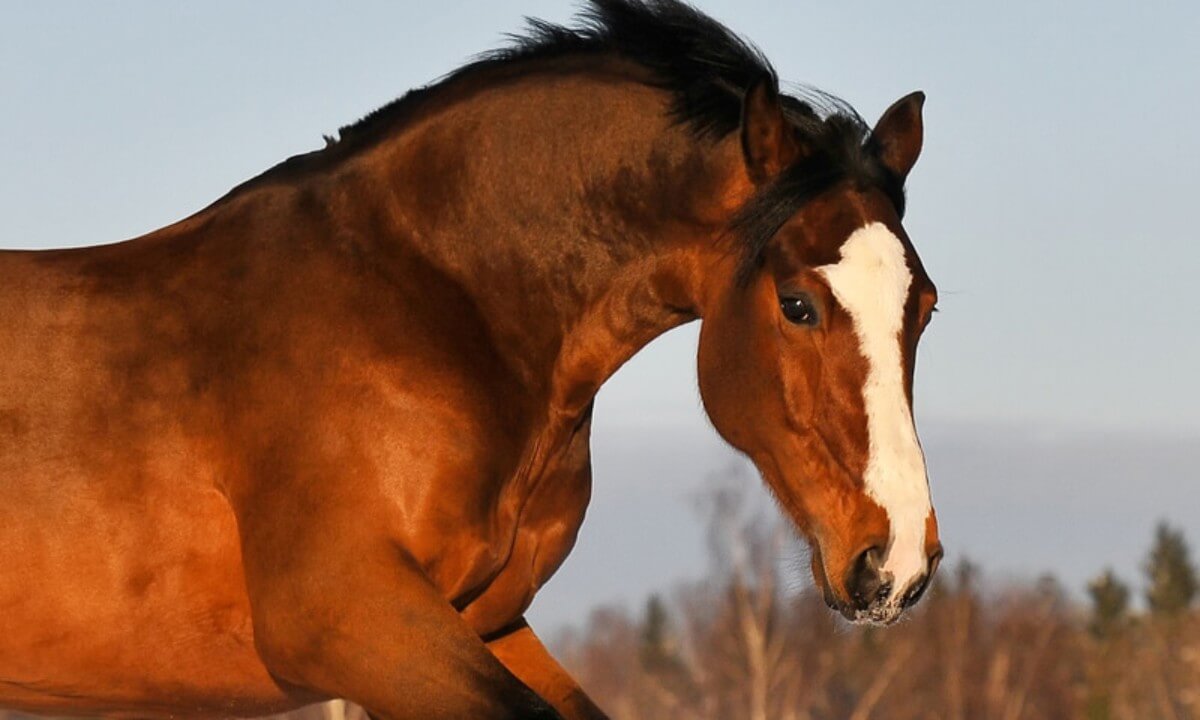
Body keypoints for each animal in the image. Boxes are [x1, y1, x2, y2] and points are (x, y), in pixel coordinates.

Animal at [0, 1, 942, 718]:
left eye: (925, 307)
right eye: (798, 304)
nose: (896, 564)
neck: (434, 307)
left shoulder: (485, 621)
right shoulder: (346, 616)